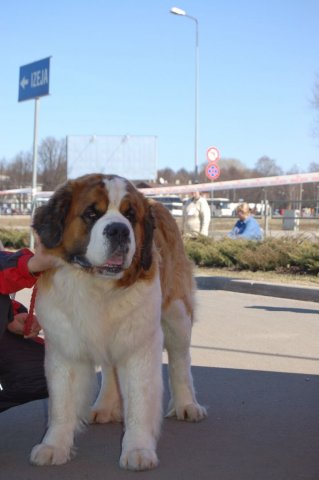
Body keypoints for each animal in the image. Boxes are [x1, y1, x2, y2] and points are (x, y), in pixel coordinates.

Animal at [29, 172, 205, 468]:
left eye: (130, 216)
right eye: (91, 214)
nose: (119, 230)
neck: (97, 286)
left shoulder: (139, 345)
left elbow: (139, 401)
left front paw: (138, 450)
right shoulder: (65, 346)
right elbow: (61, 403)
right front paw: (54, 446)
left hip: (177, 313)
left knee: (181, 360)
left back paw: (187, 405)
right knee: (110, 369)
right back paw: (105, 407)